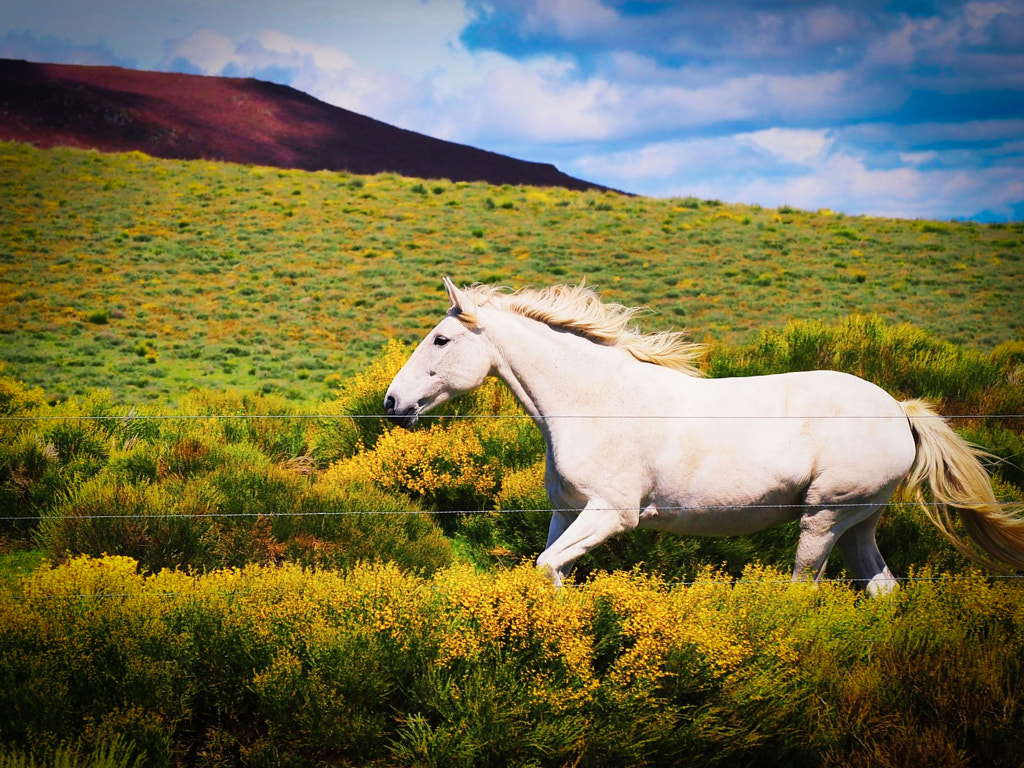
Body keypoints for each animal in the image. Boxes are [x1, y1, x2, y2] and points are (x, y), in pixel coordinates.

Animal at [384, 278, 1024, 595]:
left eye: (441, 339)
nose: (392, 405)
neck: (593, 403)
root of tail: (899, 409)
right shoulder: (567, 514)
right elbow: (550, 571)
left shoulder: (612, 513)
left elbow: (546, 567)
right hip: (857, 524)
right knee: (884, 589)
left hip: (823, 518)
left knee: (804, 592)